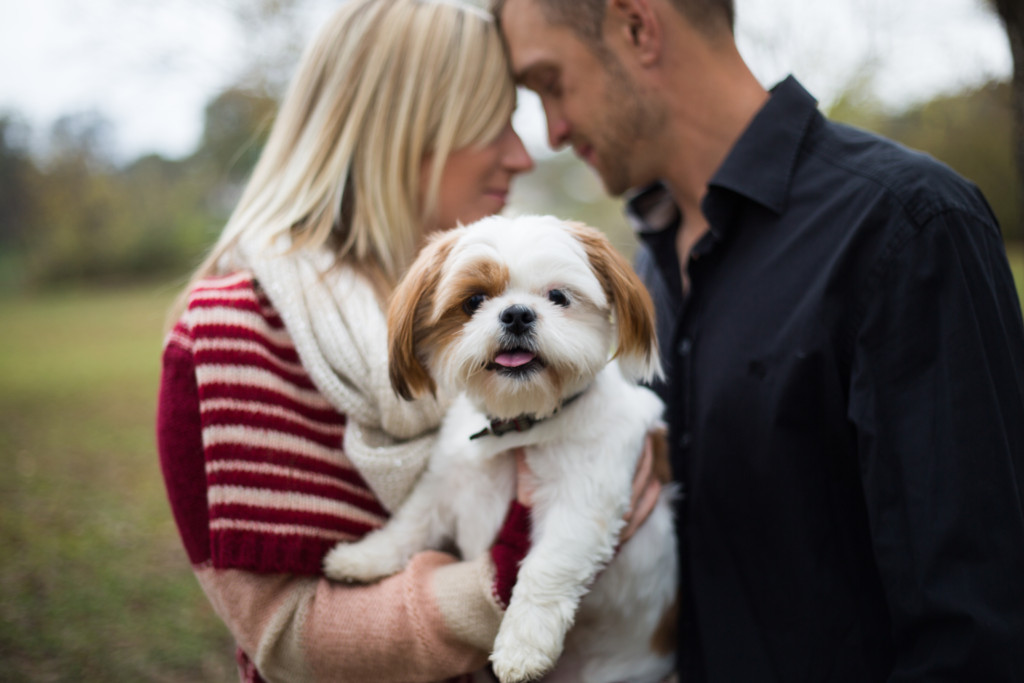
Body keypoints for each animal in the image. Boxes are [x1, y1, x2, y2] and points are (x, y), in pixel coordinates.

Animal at [323, 215, 675, 683]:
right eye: (474, 300)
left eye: (558, 296)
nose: (517, 313)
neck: (520, 425)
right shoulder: (447, 482)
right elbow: (412, 523)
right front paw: (365, 557)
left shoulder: (583, 500)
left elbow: (546, 567)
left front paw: (523, 645)